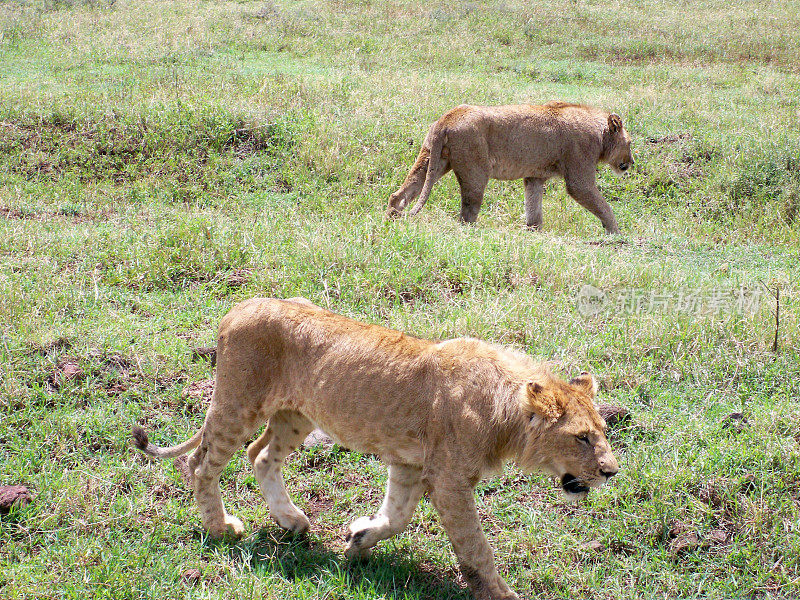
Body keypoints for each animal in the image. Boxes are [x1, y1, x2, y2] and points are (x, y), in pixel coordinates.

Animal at [133, 298, 620, 596]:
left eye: (602, 429)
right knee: (202, 463)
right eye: (581, 437)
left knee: (261, 455)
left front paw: (358, 540)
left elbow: (397, 515)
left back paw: (292, 521)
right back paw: (220, 529)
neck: (505, 410)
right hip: (238, 401)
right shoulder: (449, 480)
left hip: (296, 414)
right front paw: (503, 594)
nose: (611, 471)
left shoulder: (411, 465)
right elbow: (475, 548)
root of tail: (240, 306)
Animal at [384, 99, 636, 233]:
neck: (599, 135)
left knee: (400, 194)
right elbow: (603, 206)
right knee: (467, 212)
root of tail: (450, 116)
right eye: (630, 143)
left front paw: (533, 233)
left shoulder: (534, 176)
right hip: (475, 171)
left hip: (432, 161)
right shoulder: (579, 176)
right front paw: (615, 233)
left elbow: (534, 209)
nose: (631, 163)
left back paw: (391, 221)